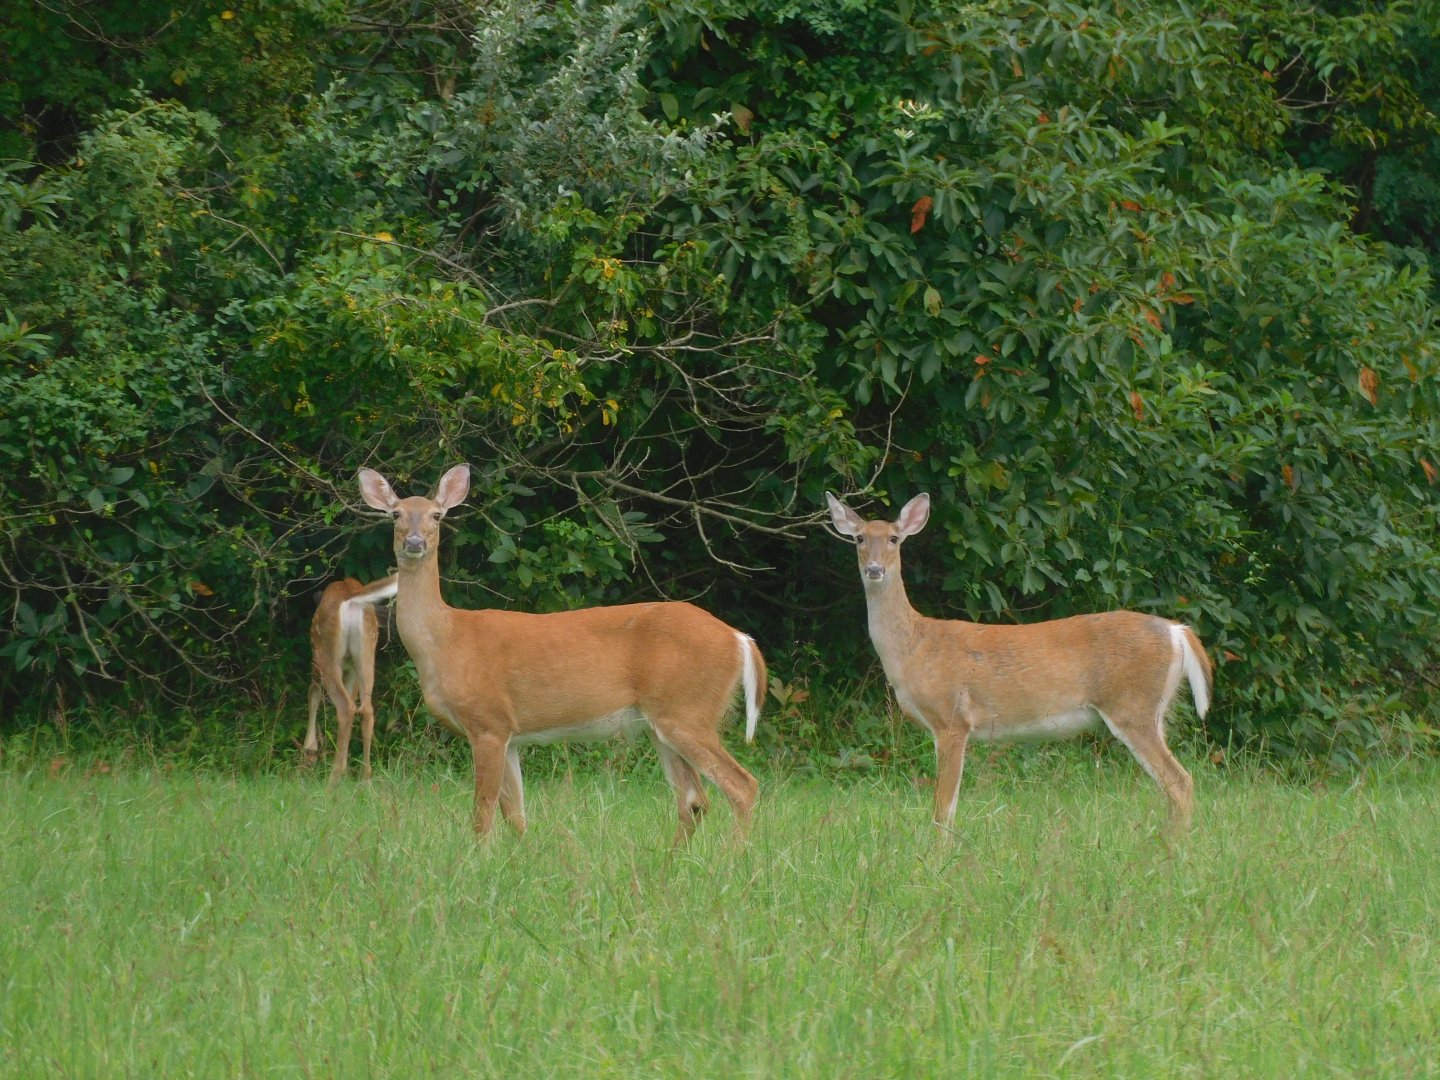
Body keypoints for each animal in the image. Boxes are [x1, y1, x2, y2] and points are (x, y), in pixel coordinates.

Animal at [304, 574, 397, 783]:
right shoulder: (350, 670)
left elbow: (313, 693)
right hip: (365, 655)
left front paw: (309, 751)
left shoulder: (317, 660)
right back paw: (365, 778)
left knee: (345, 708)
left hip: (326, 653)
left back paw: (333, 778)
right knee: (366, 710)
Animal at [352, 464, 765, 843]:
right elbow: (516, 814)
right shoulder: (509, 733)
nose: (415, 542)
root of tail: (740, 639)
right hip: (662, 722)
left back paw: (734, 855)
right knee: (694, 799)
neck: (445, 641)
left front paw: (477, 858)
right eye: (395, 514)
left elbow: (482, 812)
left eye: (437, 514)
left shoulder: (488, 721)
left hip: (687, 709)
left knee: (741, 785)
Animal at [826, 492, 1212, 834]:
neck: (913, 648)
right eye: (859, 538)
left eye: (894, 538)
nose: (875, 569)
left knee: (1181, 782)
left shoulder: (953, 718)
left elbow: (943, 809)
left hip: (1132, 707)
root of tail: (1177, 632)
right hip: (1153, 711)